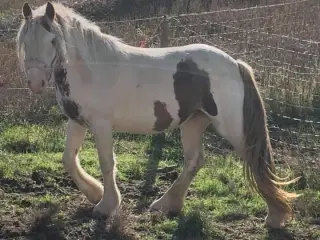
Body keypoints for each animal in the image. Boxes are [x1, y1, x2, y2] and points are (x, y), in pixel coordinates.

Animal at [15, 1, 300, 229]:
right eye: (25, 42)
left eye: (53, 41)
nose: (36, 83)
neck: (91, 70)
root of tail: (235, 64)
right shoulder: (77, 122)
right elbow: (69, 160)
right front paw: (95, 193)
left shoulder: (101, 124)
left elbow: (107, 163)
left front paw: (106, 206)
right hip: (194, 122)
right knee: (194, 161)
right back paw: (167, 205)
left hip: (230, 126)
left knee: (255, 161)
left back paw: (275, 217)